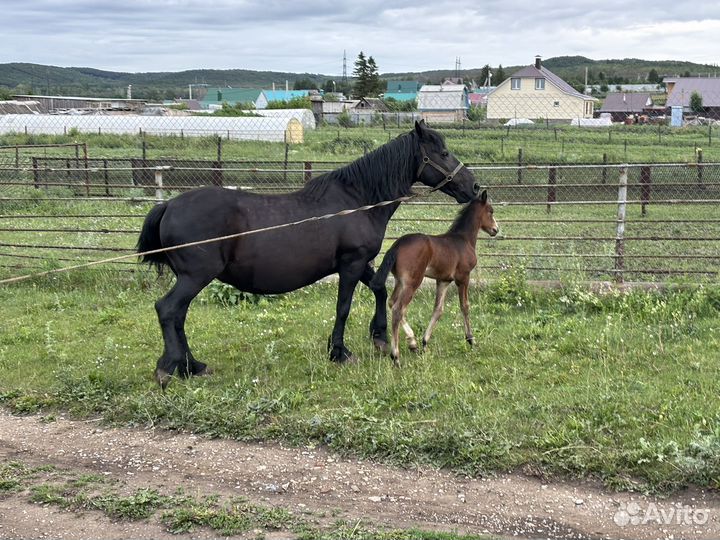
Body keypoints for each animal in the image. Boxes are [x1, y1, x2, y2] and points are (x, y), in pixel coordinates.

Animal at [137, 120, 482, 388]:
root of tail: (168, 205)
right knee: (168, 309)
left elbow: (380, 290)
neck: (358, 201)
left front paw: (380, 337)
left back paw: (192, 366)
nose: (474, 187)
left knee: (178, 315)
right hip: (195, 276)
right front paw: (339, 352)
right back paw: (171, 368)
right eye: (443, 153)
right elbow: (343, 307)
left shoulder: (362, 263)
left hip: (191, 278)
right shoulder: (351, 263)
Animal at [369, 190, 498, 364]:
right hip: (413, 282)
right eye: (491, 211)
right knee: (398, 309)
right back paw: (396, 356)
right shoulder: (463, 277)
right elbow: (465, 306)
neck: (464, 239)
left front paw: (424, 342)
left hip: (400, 281)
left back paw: (412, 343)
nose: (495, 230)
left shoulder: (443, 280)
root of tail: (396, 246)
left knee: (392, 303)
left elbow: (438, 309)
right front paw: (470, 339)